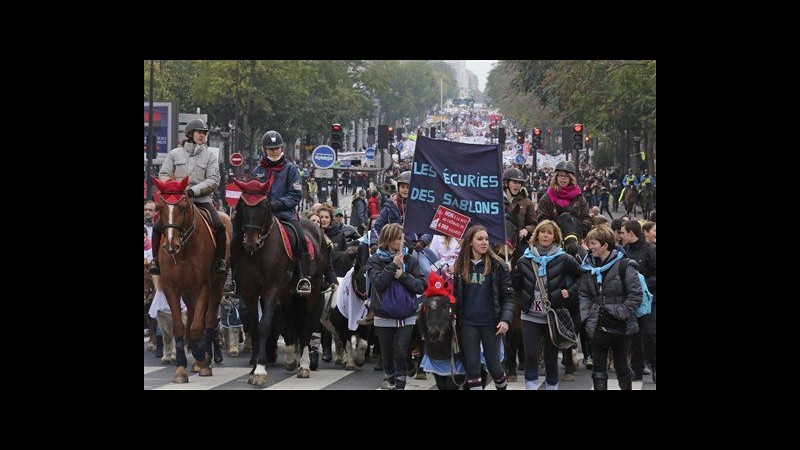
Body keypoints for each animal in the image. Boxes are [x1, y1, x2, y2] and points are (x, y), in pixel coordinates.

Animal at [150, 176, 231, 384]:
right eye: (160, 207)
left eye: (184, 206)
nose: (170, 245)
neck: (184, 250)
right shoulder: (171, 288)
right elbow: (180, 326)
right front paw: (180, 369)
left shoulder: (203, 286)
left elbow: (196, 327)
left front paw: (203, 358)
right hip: (187, 292)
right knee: (194, 313)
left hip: (217, 284)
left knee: (208, 319)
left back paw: (204, 358)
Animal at [228, 179, 324, 386]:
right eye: (242, 206)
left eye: (264, 206)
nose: (251, 242)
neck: (258, 253)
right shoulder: (249, 290)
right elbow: (254, 325)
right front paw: (254, 368)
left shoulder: (271, 288)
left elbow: (265, 324)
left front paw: (260, 370)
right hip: (287, 293)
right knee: (289, 319)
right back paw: (290, 359)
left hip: (312, 292)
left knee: (306, 323)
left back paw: (304, 365)